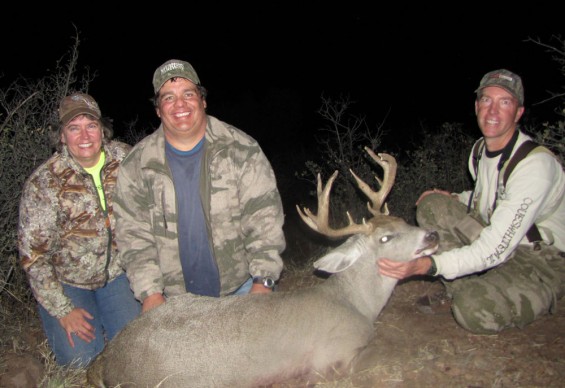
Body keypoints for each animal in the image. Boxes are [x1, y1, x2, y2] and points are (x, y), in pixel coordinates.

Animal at [86, 147, 438, 386]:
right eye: (385, 238)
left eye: (403, 220)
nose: (432, 235)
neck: (357, 304)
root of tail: (110, 360)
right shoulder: (333, 356)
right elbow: (382, 354)